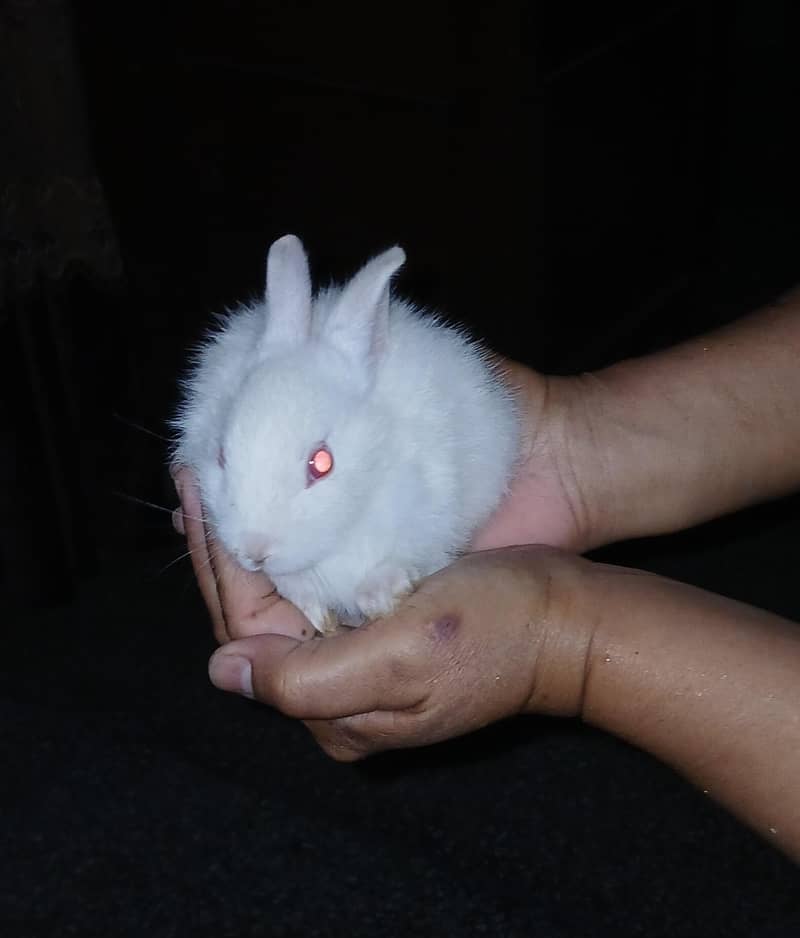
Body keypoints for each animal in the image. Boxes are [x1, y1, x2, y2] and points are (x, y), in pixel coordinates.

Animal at [172, 234, 520, 634]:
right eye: (221, 456)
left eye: (322, 463)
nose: (255, 552)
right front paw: (316, 610)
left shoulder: (431, 512)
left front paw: (379, 595)